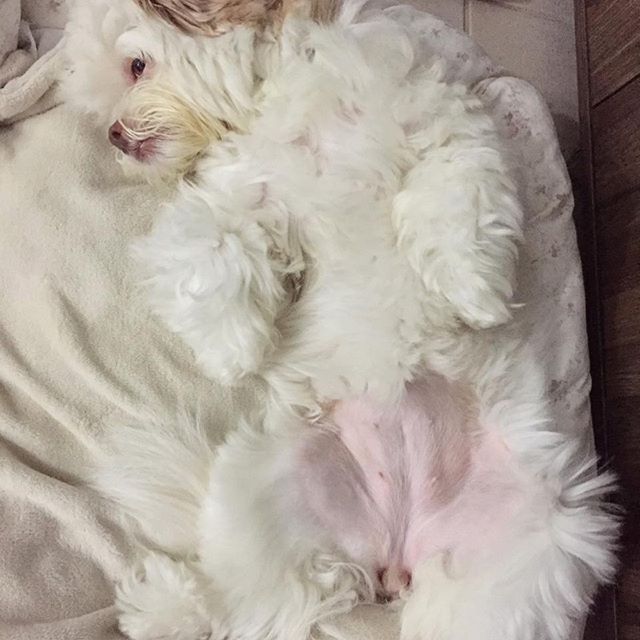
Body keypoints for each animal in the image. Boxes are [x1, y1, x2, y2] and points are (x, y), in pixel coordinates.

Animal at [62, 1, 616, 640]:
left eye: (136, 65)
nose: (114, 135)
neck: (291, 92)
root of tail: (394, 556)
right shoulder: (241, 193)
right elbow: (209, 242)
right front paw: (234, 352)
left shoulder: (441, 124)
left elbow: (456, 196)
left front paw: (471, 289)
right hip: (266, 489)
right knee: (255, 604)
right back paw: (166, 604)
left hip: (526, 543)